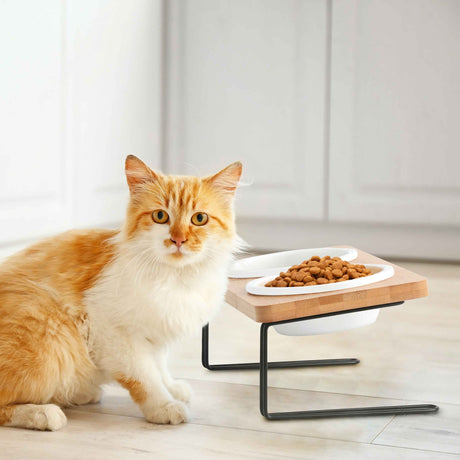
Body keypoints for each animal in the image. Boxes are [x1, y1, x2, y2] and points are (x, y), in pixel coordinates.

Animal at [0, 155, 243, 432]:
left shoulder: (157, 333)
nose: (178, 240)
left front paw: (172, 388)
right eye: (161, 216)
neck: (176, 278)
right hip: (50, 337)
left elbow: (159, 367)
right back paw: (45, 413)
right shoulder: (113, 332)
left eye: (199, 219)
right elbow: (144, 378)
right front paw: (164, 406)